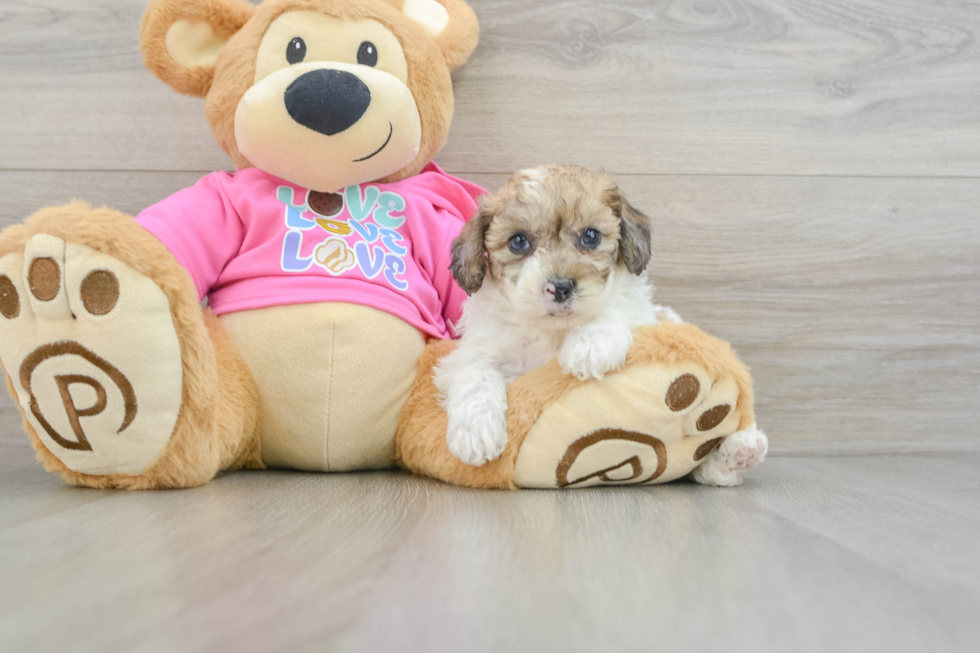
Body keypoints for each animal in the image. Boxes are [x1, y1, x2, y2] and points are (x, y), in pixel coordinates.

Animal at [436, 166, 680, 466]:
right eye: (518, 241)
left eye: (591, 236)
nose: (561, 287)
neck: (551, 329)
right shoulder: (474, 348)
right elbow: (475, 373)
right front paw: (476, 431)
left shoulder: (641, 312)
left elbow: (617, 307)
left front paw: (590, 344)